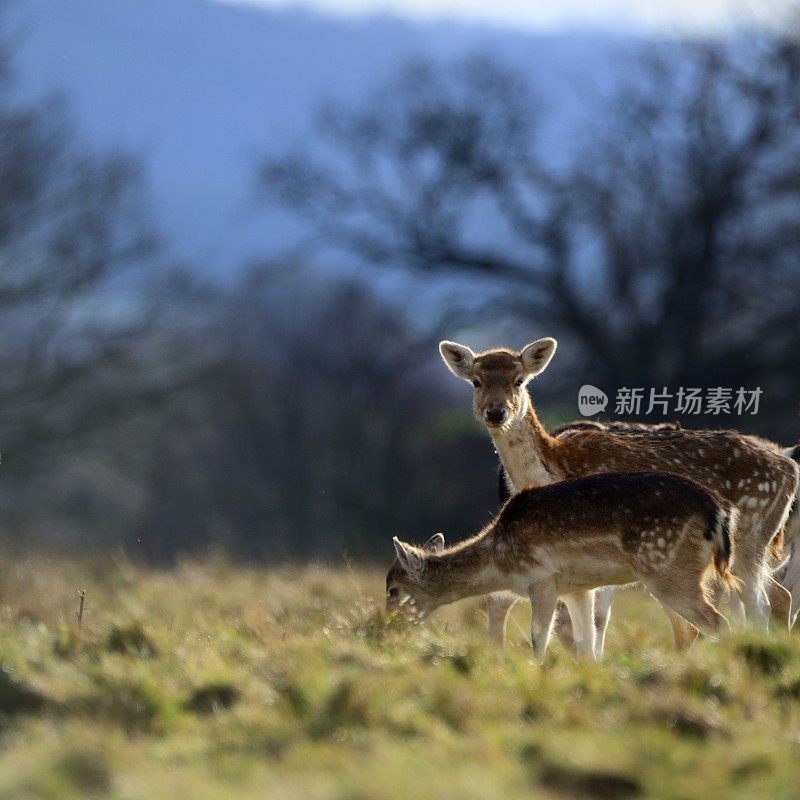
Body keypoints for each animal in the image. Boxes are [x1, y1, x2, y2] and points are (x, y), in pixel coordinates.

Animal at [384, 472, 740, 660]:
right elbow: (586, 642)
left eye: (393, 589)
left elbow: (539, 635)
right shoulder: (577, 589)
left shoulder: (541, 578)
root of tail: (719, 512)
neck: (498, 561)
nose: (385, 625)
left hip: (670, 573)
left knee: (718, 624)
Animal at [440, 334, 796, 648]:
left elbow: (594, 620)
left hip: (750, 538)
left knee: (764, 601)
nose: (495, 412)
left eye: (519, 380)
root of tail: (789, 468)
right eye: (476, 381)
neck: (554, 467)